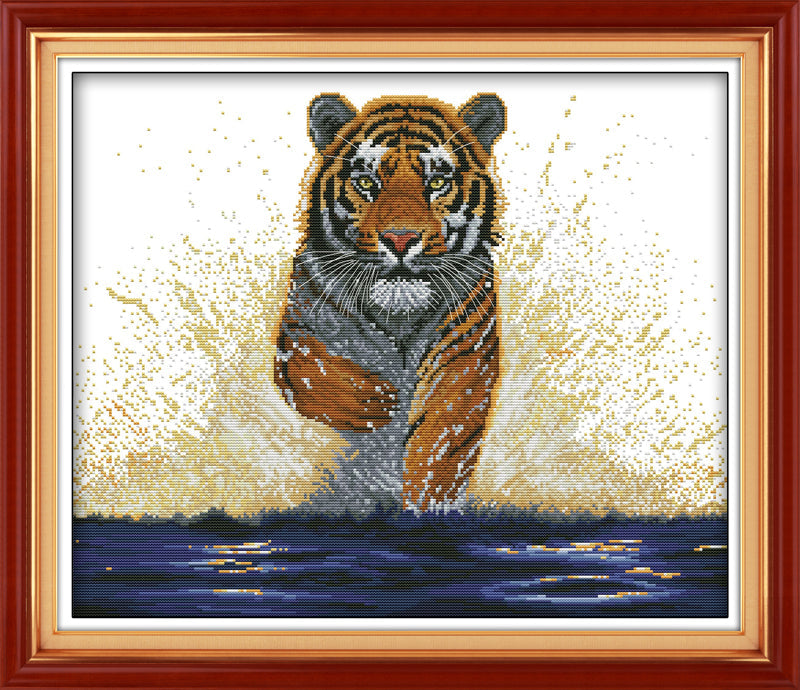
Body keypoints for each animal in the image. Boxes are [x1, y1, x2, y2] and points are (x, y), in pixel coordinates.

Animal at [273, 93, 506, 514]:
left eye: (437, 182)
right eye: (367, 182)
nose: (400, 239)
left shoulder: (464, 356)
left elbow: (438, 444)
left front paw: (426, 509)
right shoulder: (298, 330)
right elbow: (312, 369)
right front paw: (378, 401)